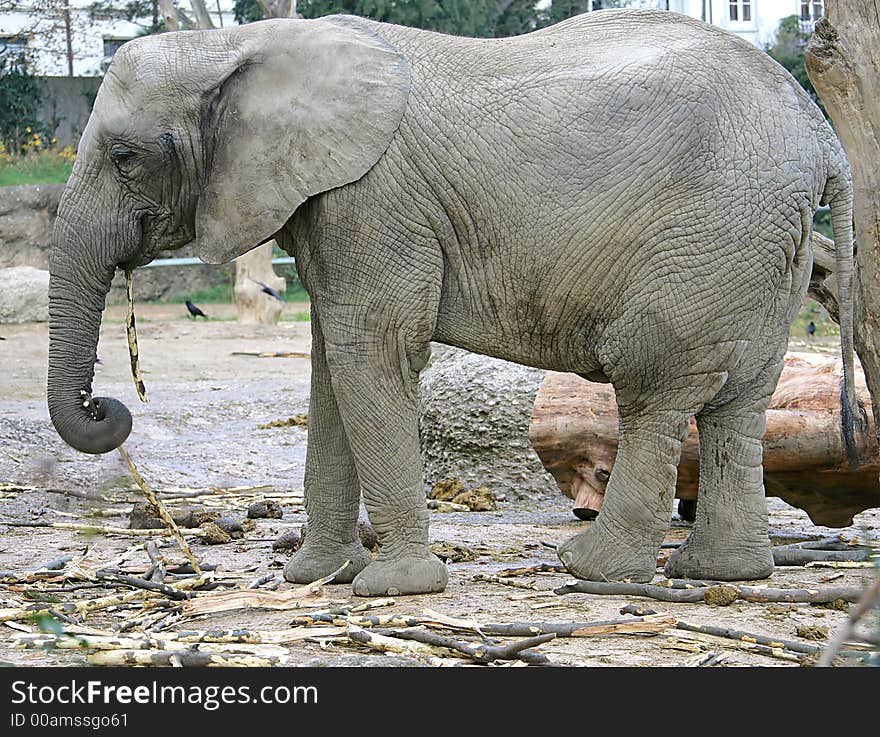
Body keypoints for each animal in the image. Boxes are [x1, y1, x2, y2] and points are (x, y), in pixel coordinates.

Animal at [48, 10, 860, 600]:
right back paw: (723, 573)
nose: (109, 405)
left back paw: (591, 569)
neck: (238, 45)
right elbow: (332, 365)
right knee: (740, 401)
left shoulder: (373, 199)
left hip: (710, 233)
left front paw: (393, 589)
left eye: (125, 158)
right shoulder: (331, 203)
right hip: (765, 244)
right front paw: (315, 577)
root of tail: (821, 135)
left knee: (655, 387)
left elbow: (373, 352)